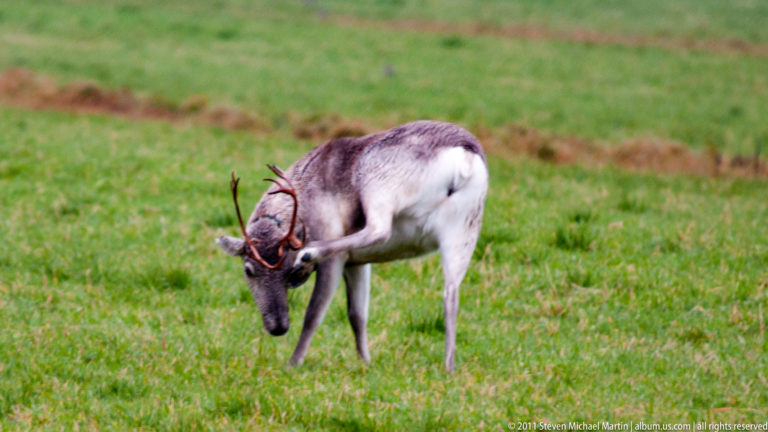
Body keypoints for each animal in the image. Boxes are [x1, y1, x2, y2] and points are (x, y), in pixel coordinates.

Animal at [216, 120, 488, 372]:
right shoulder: (358, 262)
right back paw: (449, 367)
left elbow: (313, 314)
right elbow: (357, 314)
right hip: (465, 225)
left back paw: (310, 252)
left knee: (380, 229)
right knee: (451, 292)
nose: (278, 327)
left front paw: (293, 363)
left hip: (378, 182)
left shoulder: (336, 257)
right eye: (249, 270)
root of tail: (464, 159)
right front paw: (365, 361)